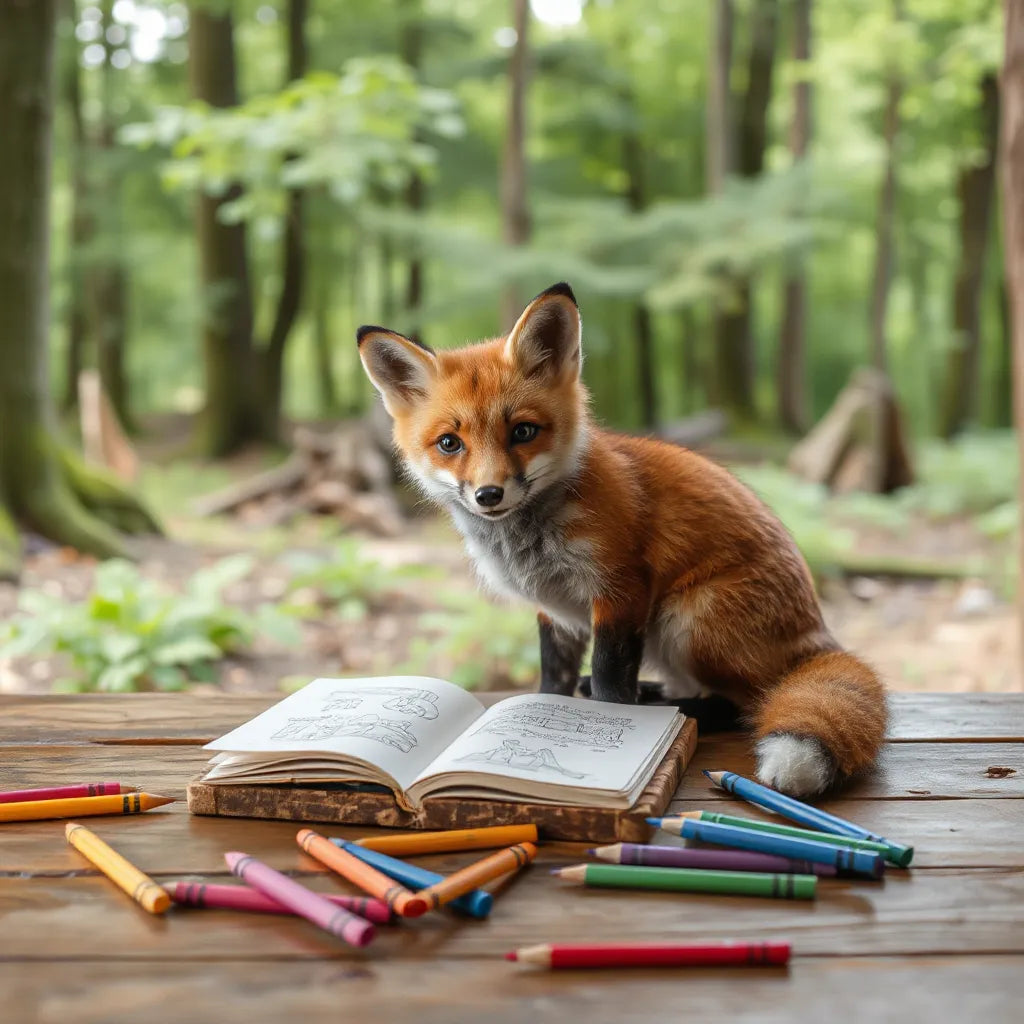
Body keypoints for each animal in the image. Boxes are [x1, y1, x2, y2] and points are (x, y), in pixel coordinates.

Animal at [357, 282, 887, 796]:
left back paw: (672, 711)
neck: (533, 539)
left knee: (744, 703)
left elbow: (611, 677)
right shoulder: (555, 609)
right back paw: (656, 696)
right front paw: (546, 710)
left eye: (523, 431)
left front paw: (611, 719)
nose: (489, 494)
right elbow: (553, 677)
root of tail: (818, 637)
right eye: (450, 443)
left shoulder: (621, 589)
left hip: (685, 620)